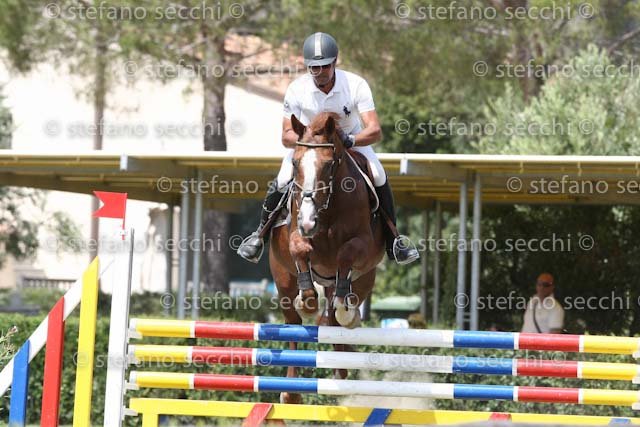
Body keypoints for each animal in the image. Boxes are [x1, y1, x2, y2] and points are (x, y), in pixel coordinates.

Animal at [269, 112, 385, 404]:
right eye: (296, 163)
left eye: (329, 164)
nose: (308, 221)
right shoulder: (296, 236)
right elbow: (301, 250)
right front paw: (308, 300)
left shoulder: (362, 245)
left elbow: (346, 254)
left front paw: (345, 309)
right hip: (283, 280)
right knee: (294, 323)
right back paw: (291, 392)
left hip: (366, 278)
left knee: (335, 316)